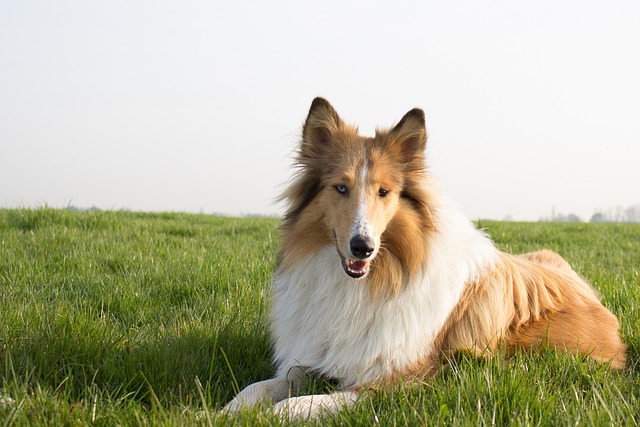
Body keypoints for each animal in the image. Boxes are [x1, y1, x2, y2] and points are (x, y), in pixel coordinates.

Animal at [222, 98, 628, 420]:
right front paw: (227, 411)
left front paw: (272, 415)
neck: (371, 282)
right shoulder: (316, 358)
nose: (362, 247)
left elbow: (302, 403)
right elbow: (261, 387)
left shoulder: (398, 380)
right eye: (340, 187)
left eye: (384, 192)